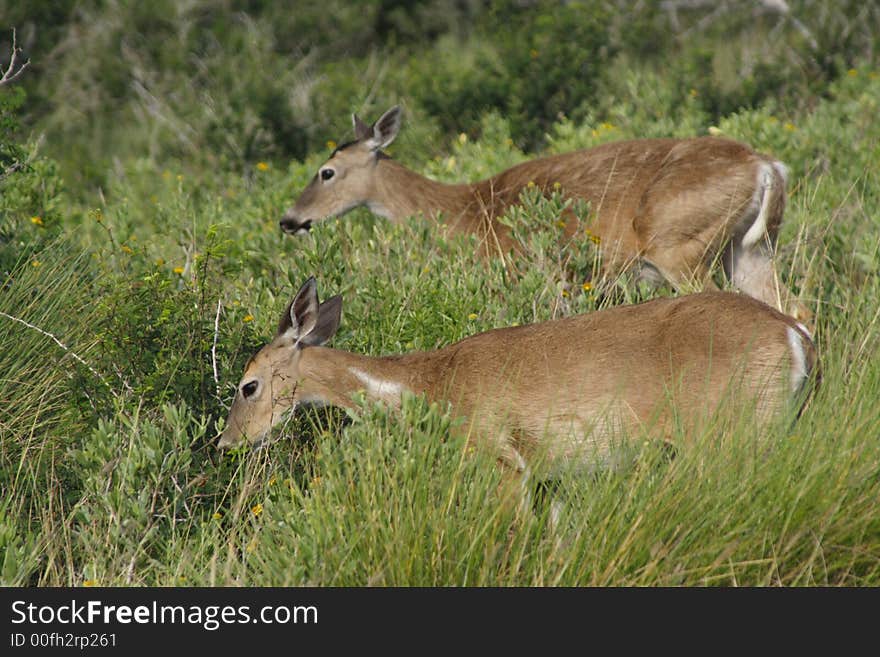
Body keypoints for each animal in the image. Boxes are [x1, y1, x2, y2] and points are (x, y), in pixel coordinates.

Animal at [215, 274, 820, 504]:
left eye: (247, 385)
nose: (225, 444)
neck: (431, 388)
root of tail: (796, 338)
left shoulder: (502, 459)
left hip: (732, 432)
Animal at [282, 105, 812, 320]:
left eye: (326, 171)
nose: (289, 219)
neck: (463, 211)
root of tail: (766, 165)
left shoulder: (518, 270)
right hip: (751, 247)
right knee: (795, 307)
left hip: (678, 245)